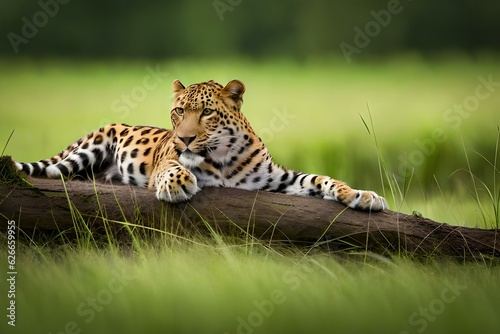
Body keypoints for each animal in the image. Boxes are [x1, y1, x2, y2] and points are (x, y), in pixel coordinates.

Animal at [12, 80, 386, 211]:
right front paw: (178, 184)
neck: (225, 157)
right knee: (54, 172)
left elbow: (319, 178)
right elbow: (171, 167)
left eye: (206, 112)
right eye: (179, 111)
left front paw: (362, 195)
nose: (184, 138)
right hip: (86, 149)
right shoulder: (167, 162)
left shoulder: (277, 180)